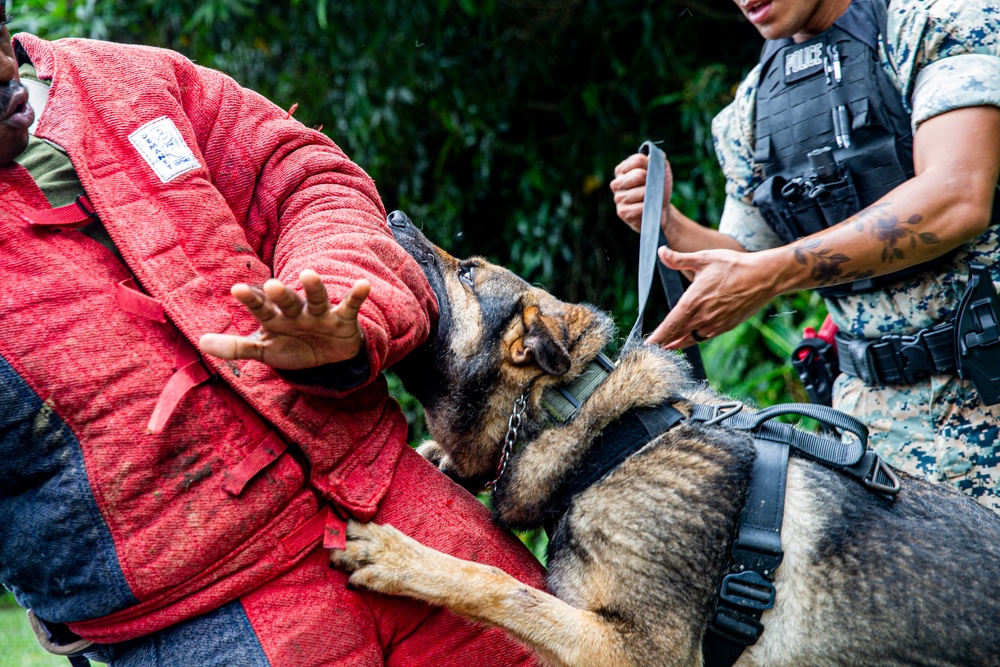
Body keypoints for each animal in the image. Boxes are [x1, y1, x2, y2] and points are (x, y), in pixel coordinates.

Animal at [332, 213, 1000, 667]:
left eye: (467, 270)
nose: (394, 214)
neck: (597, 436)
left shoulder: (635, 651)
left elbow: (500, 586)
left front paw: (401, 559)